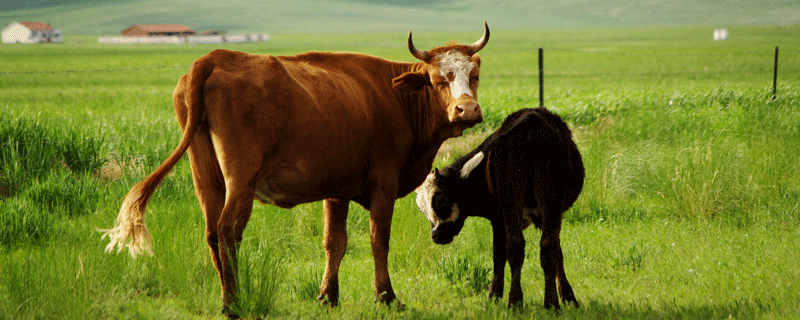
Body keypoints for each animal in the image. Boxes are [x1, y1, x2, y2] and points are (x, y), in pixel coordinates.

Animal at [100, 23, 488, 316]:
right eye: (438, 79)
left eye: (475, 75)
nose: (467, 110)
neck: (395, 97)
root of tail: (214, 57)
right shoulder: (384, 184)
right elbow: (379, 240)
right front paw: (386, 297)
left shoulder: (337, 189)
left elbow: (335, 242)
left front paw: (329, 296)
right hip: (241, 177)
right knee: (227, 230)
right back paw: (233, 303)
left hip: (205, 175)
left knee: (211, 232)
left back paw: (229, 296)